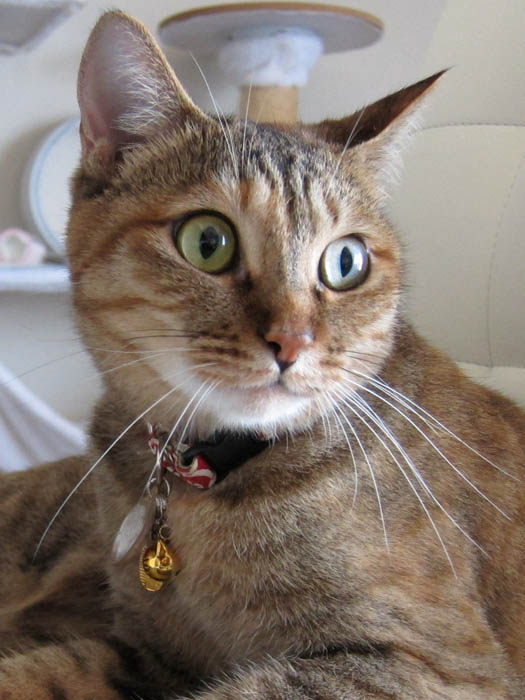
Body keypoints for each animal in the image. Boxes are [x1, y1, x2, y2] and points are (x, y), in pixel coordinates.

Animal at [1, 9, 524, 699]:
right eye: (207, 241)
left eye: (346, 261)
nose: (292, 341)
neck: (202, 481)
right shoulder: (146, 654)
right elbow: (50, 671)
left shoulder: (438, 664)